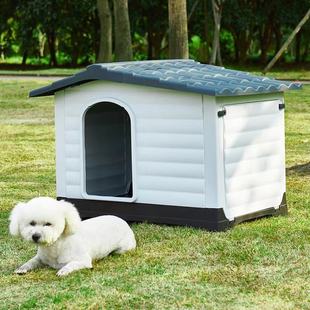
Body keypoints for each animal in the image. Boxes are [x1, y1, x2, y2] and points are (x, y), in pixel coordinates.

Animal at [8, 196, 136, 276]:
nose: (35, 236)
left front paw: (63, 271)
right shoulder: (40, 258)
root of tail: (123, 221)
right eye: (32, 223)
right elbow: (31, 261)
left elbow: (71, 264)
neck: (56, 246)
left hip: (123, 249)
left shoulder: (83, 261)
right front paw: (22, 268)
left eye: (48, 224)